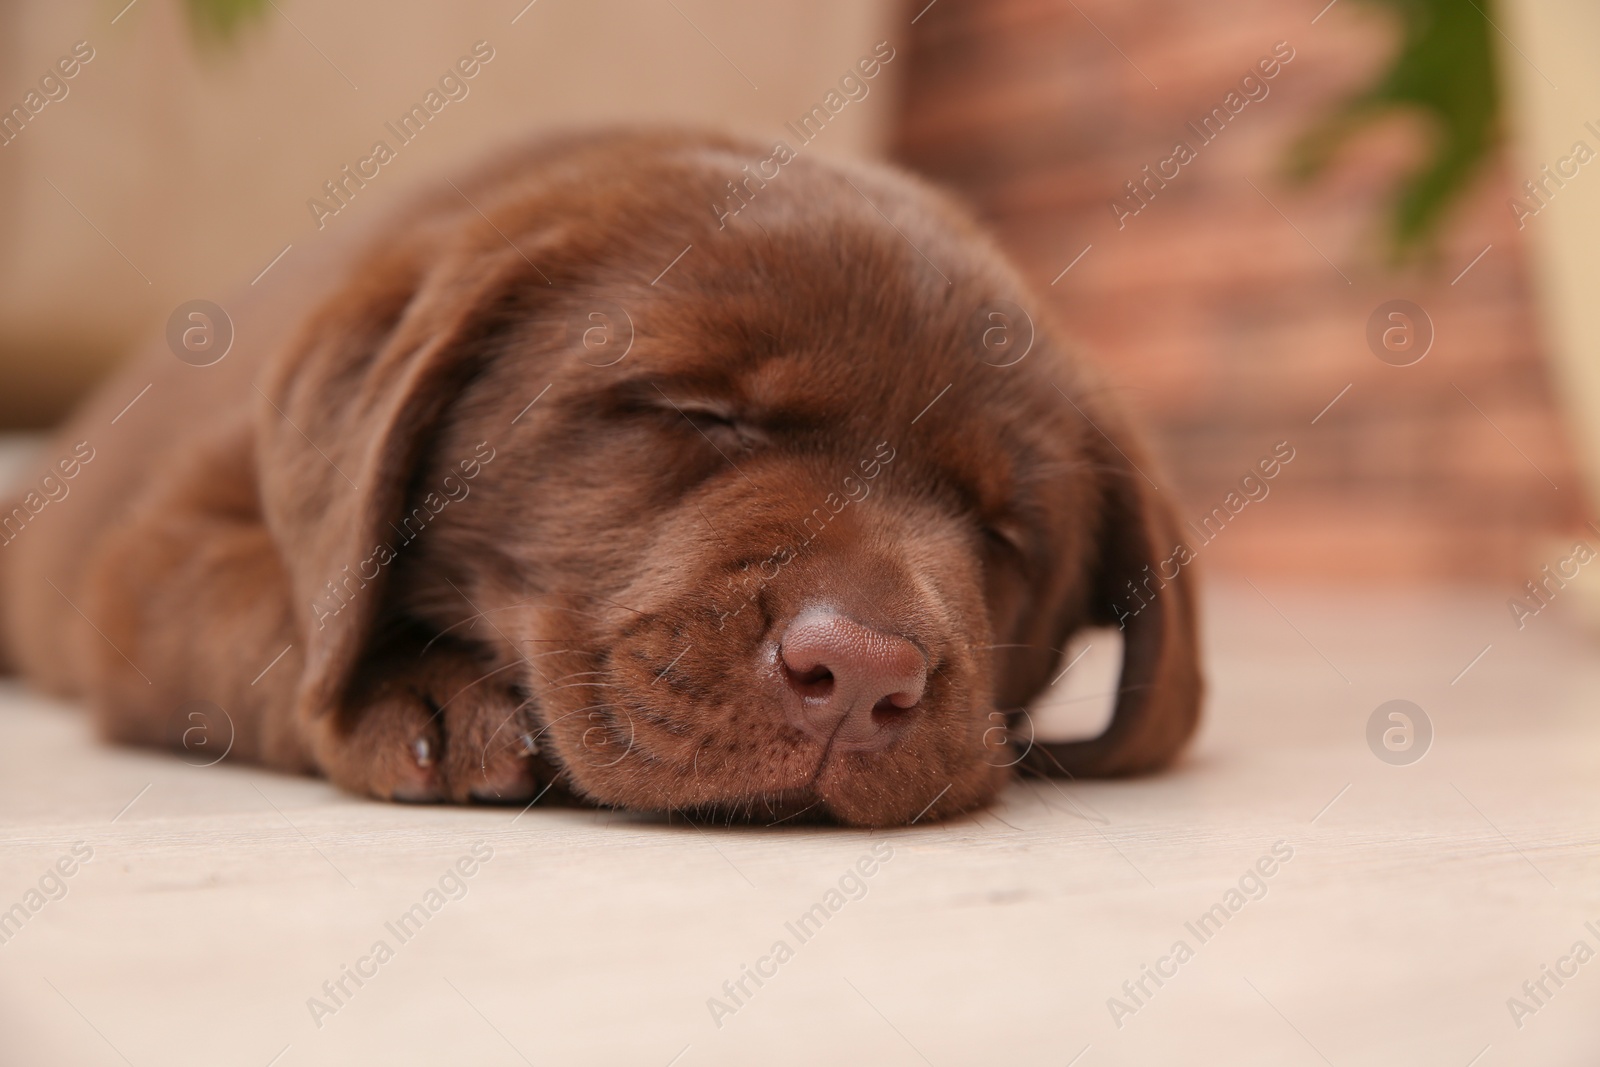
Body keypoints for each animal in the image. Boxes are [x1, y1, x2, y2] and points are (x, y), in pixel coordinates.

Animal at [0, 125, 1203, 825]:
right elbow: (271, 604)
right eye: (697, 412)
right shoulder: (156, 551)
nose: (861, 674)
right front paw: (412, 683)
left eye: (1003, 530)